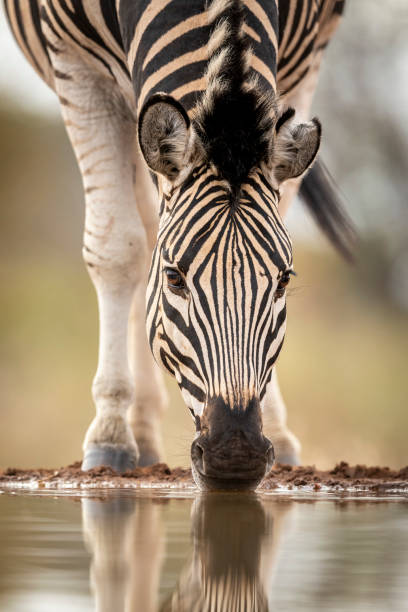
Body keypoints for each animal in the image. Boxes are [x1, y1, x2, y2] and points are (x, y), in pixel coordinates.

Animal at [4, 0, 352, 488]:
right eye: (173, 279)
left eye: (284, 281)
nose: (235, 454)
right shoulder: (76, 64)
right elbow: (117, 248)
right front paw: (109, 434)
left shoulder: (306, 59)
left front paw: (279, 432)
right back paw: (137, 434)